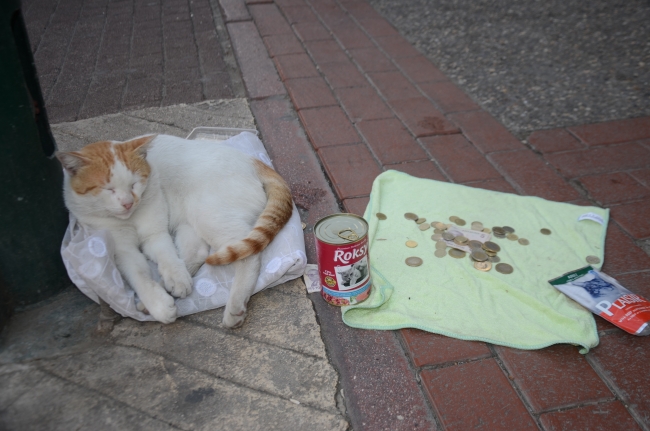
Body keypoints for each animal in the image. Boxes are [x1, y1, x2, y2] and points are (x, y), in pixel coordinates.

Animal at [55, 134, 294, 328]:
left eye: (134, 184)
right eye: (108, 189)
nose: (127, 203)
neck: (130, 218)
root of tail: (250, 160)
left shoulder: (156, 234)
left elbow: (167, 258)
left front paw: (165, 297)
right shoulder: (123, 249)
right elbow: (140, 274)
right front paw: (159, 302)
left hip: (209, 216)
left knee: (248, 256)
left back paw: (235, 306)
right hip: (189, 223)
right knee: (196, 254)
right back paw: (163, 292)